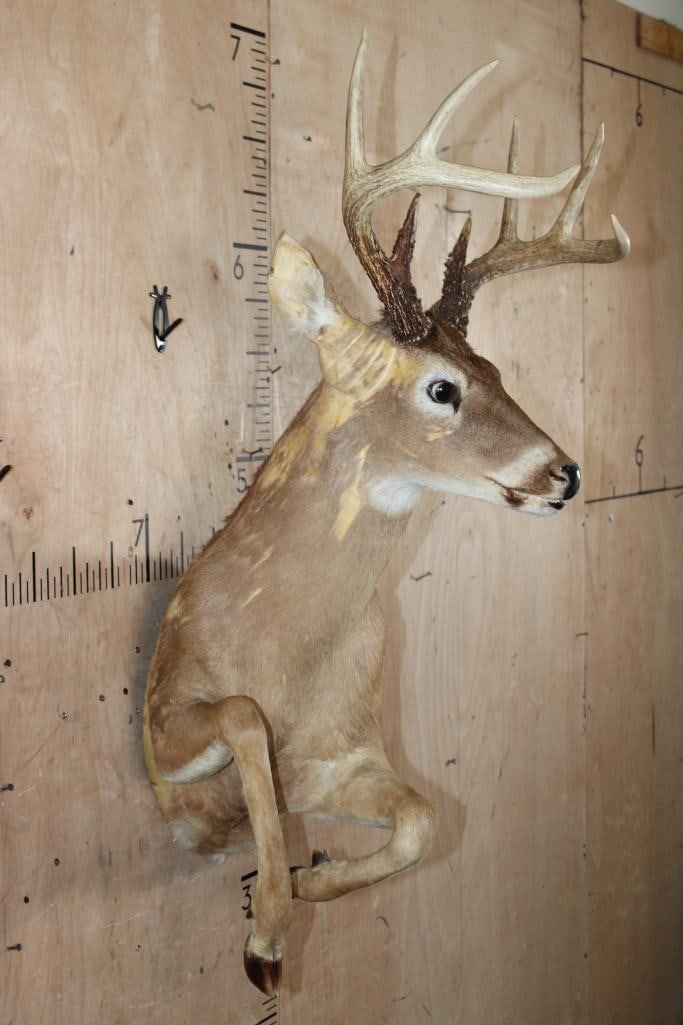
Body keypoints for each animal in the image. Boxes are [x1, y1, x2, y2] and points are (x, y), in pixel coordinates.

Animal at [143, 31, 628, 997]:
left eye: (496, 368)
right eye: (441, 386)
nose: (562, 473)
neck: (283, 656)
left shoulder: (350, 757)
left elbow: (420, 822)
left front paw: (308, 880)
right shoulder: (164, 725)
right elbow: (240, 719)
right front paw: (266, 940)